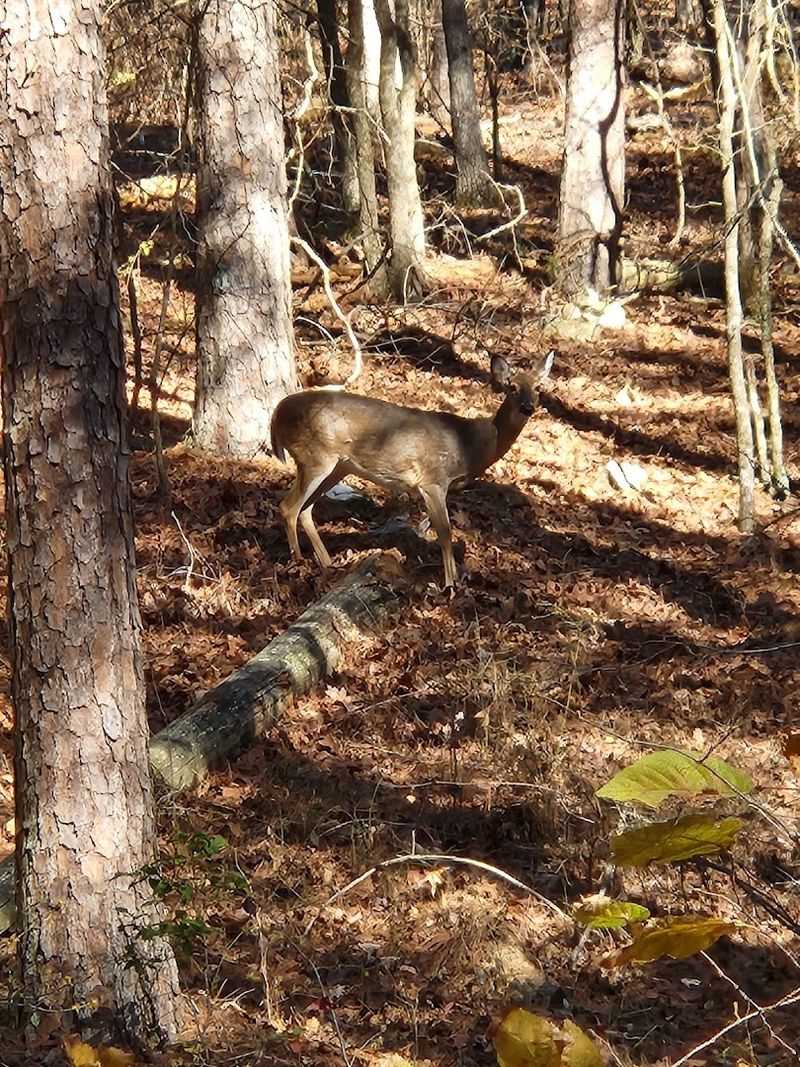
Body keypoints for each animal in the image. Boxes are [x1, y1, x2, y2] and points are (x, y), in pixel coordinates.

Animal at [270, 350, 554, 589]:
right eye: (512, 387)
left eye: (538, 388)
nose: (528, 407)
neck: (471, 445)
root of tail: (277, 413)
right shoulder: (433, 479)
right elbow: (445, 532)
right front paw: (450, 585)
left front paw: (455, 581)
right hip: (315, 457)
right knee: (288, 507)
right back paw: (298, 562)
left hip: (338, 467)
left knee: (305, 510)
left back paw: (328, 564)